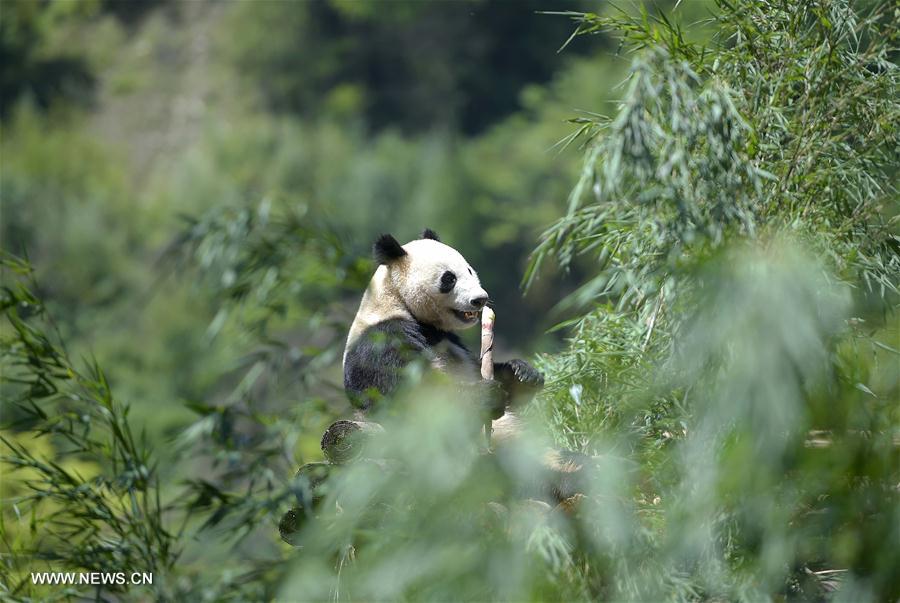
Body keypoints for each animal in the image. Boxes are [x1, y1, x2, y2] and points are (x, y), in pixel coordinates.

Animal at [342, 230, 540, 444]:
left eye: (469, 271)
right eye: (449, 278)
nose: (480, 299)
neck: (397, 302)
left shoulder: (450, 339)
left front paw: (523, 373)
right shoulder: (384, 341)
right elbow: (424, 399)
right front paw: (488, 395)